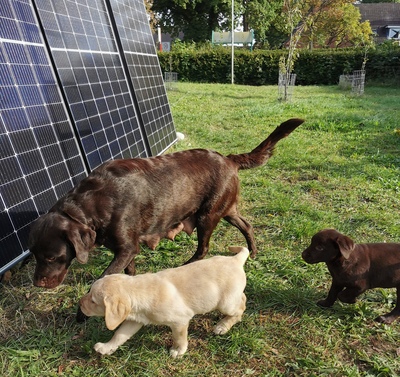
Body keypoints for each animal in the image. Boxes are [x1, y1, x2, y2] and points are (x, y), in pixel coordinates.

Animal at [28, 118, 304, 290]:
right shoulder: (127, 249)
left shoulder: (126, 247)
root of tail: (228, 158)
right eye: (33, 255)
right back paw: (253, 252)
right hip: (225, 210)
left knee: (203, 249)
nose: (37, 283)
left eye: (53, 257)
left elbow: (104, 277)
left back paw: (185, 268)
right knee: (246, 225)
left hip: (207, 216)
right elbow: (128, 271)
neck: (91, 205)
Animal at [79, 245, 248, 356]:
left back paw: (223, 326)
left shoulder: (180, 321)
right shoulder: (134, 320)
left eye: (93, 301)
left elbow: (179, 338)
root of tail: (235, 259)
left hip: (226, 303)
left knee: (241, 306)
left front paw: (178, 351)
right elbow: (119, 335)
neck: (138, 289)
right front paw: (107, 348)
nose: (80, 303)